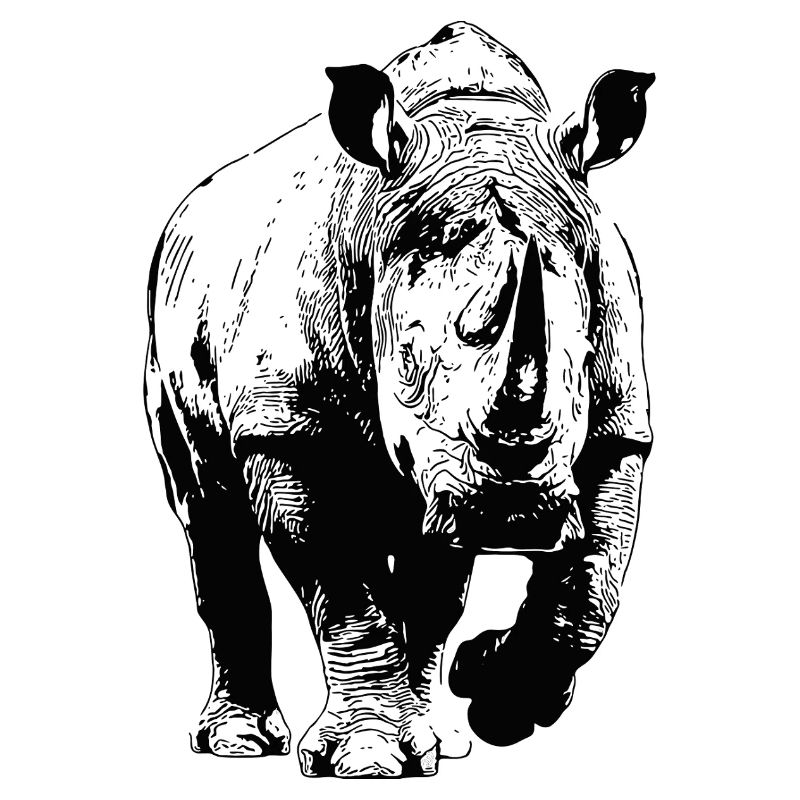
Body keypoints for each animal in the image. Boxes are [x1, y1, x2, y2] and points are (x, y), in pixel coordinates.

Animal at [144, 21, 654, 777]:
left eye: (580, 370)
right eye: (406, 375)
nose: (512, 515)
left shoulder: (618, 423)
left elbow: (587, 589)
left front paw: (488, 692)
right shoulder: (288, 427)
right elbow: (345, 592)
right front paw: (367, 761)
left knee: (434, 565)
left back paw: (444, 736)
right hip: (167, 318)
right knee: (205, 506)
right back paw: (240, 744)